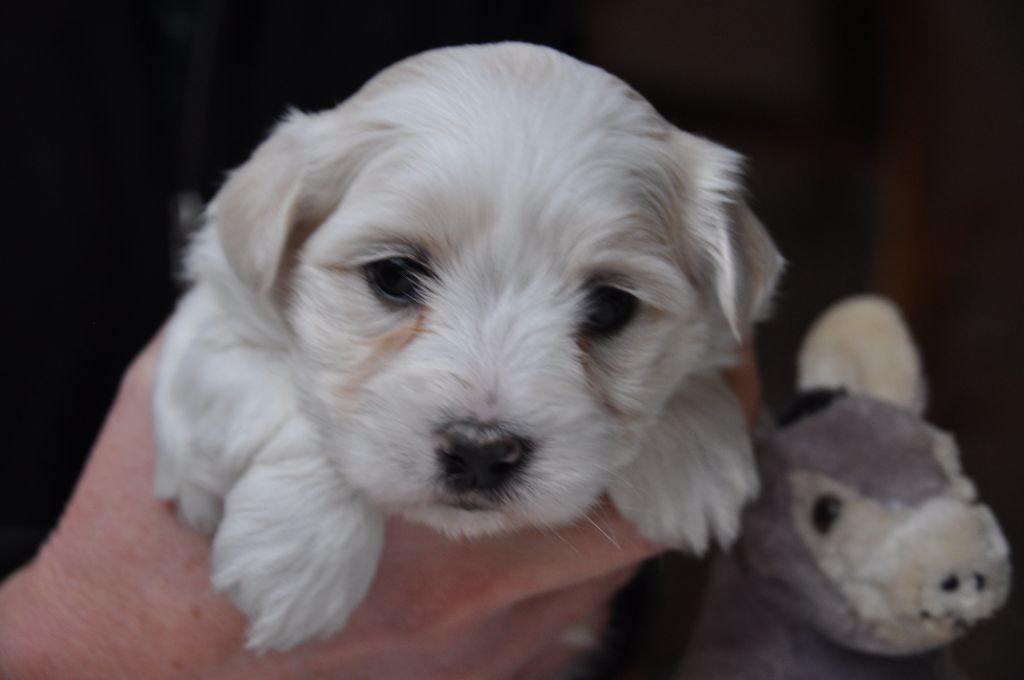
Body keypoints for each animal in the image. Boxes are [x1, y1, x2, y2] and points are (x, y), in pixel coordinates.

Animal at [149, 41, 782, 647]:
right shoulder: (211, 328)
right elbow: (286, 395)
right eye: (393, 275)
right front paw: (298, 558)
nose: (481, 450)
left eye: (610, 305)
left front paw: (691, 459)